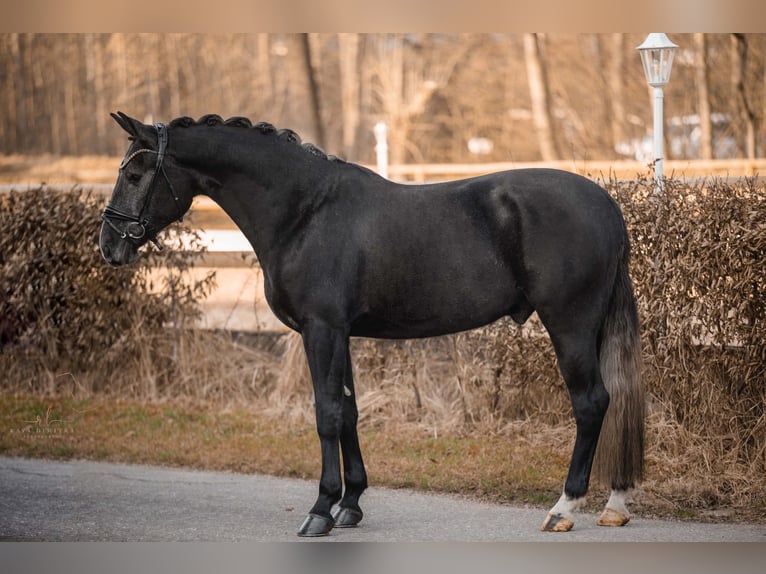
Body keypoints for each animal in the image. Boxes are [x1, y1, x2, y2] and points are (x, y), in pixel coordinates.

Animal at [99, 115, 644, 536]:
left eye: (137, 172)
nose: (109, 245)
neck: (305, 211)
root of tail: (606, 205)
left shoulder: (321, 330)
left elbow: (326, 414)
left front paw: (320, 510)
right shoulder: (339, 333)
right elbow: (349, 412)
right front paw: (351, 504)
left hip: (569, 325)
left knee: (591, 403)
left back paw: (564, 508)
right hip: (591, 327)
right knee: (614, 398)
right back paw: (615, 505)